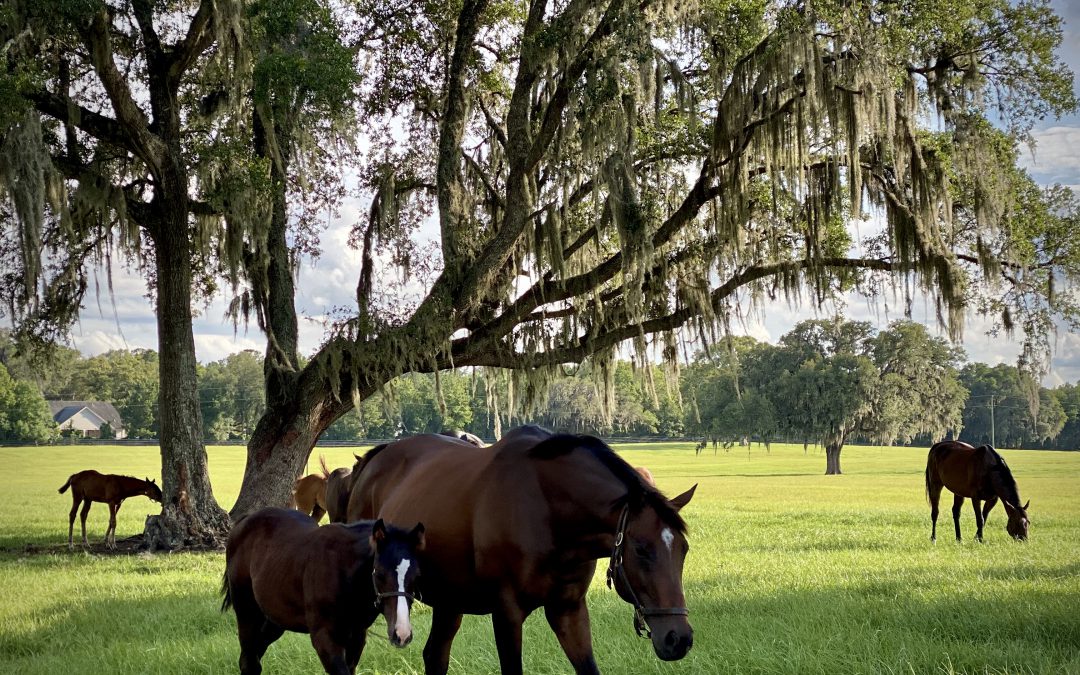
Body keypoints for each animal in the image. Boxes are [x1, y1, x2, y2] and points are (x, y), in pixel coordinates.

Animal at [221, 505, 423, 673]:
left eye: (416, 576)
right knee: (249, 662)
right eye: (380, 573)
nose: (402, 634)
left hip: (274, 620)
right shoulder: (324, 637)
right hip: (247, 613)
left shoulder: (357, 636)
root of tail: (244, 521)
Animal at [349, 425, 695, 673]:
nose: (679, 639)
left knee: (435, 656)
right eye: (641, 549)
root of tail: (373, 460)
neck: (546, 508)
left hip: (449, 603)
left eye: (684, 550)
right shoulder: (507, 613)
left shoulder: (568, 610)